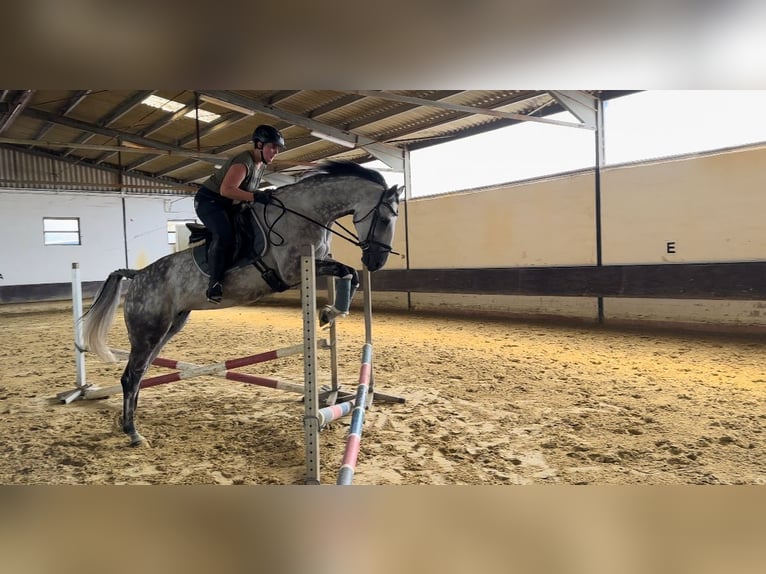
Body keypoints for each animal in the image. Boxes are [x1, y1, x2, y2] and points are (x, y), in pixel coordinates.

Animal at [81, 161, 403, 446]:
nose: (376, 262)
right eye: (385, 220)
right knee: (130, 376)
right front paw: (328, 312)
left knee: (139, 373)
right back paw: (133, 433)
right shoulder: (292, 272)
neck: (306, 212)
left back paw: (128, 423)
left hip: (169, 327)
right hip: (148, 331)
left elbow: (350, 274)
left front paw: (330, 313)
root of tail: (136, 276)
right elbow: (346, 271)